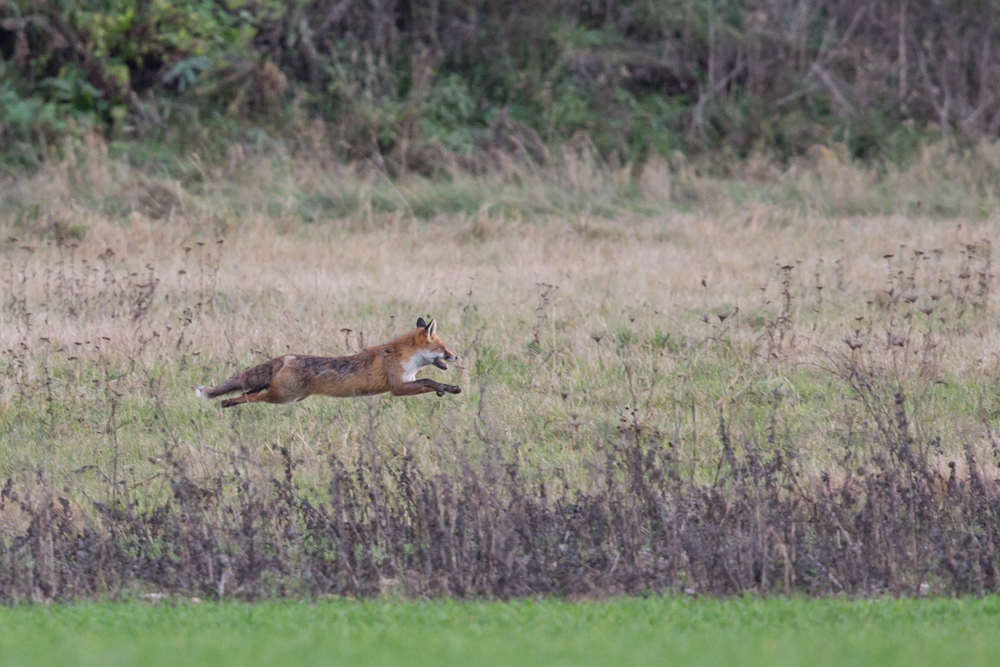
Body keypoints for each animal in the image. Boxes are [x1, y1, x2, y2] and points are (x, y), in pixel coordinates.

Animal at [194, 318, 460, 408]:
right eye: (443, 348)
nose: (456, 356)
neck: (403, 356)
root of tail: (286, 358)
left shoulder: (407, 382)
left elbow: (431, 382)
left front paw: (450, 389)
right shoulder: (397, 387)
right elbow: (430, 379)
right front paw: (441, 388)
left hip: (287, 395)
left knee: (249, 392)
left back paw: (228, 402)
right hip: (282, 396)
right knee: (250, 396)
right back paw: (228, 403)